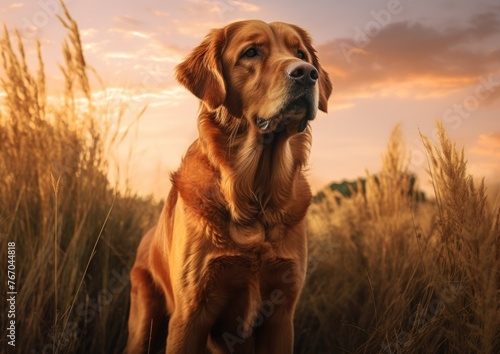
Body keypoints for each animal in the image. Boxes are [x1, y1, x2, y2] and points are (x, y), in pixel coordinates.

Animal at [127, 20, 332, 354]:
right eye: (251, 52)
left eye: (300, 54)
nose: (307, 73)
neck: (254, 196)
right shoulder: (190, 313)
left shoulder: (281, 314)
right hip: (144, 323)